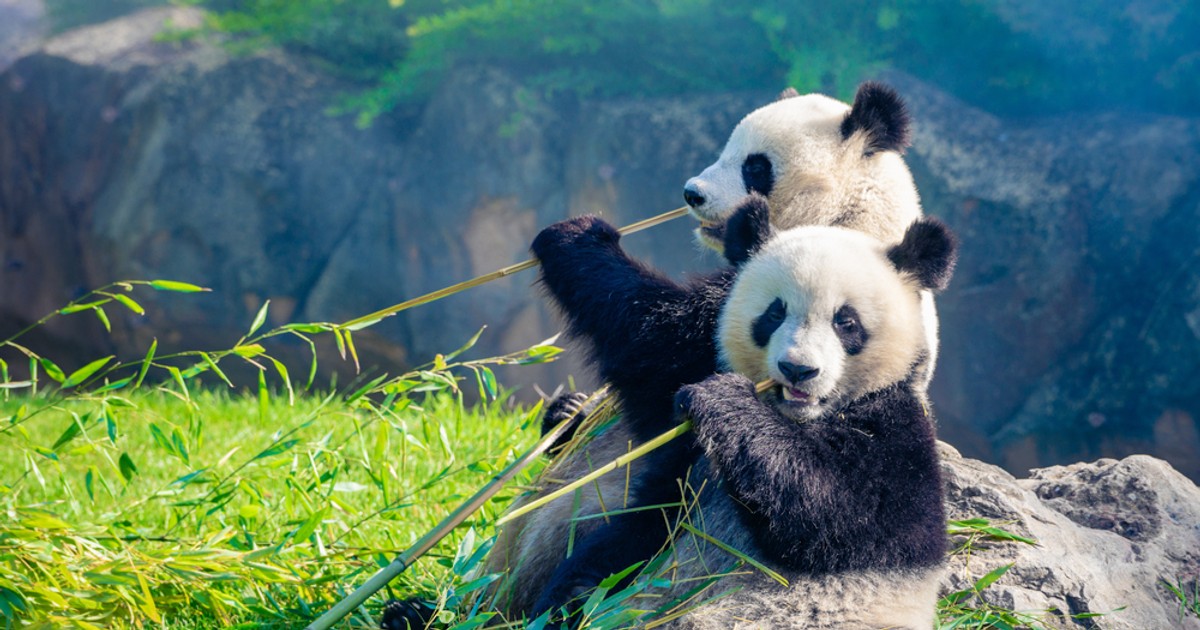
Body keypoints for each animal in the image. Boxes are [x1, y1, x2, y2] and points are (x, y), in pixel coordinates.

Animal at [533, 209, 957, 629]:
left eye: (846, 322)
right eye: (774, 313)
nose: (797, 369)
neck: (796, 419)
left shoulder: (895, 435)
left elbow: (841, 513)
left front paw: (724, 400)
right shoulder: (696, 367)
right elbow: (646, 333)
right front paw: (578, 234)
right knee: (593, 577)